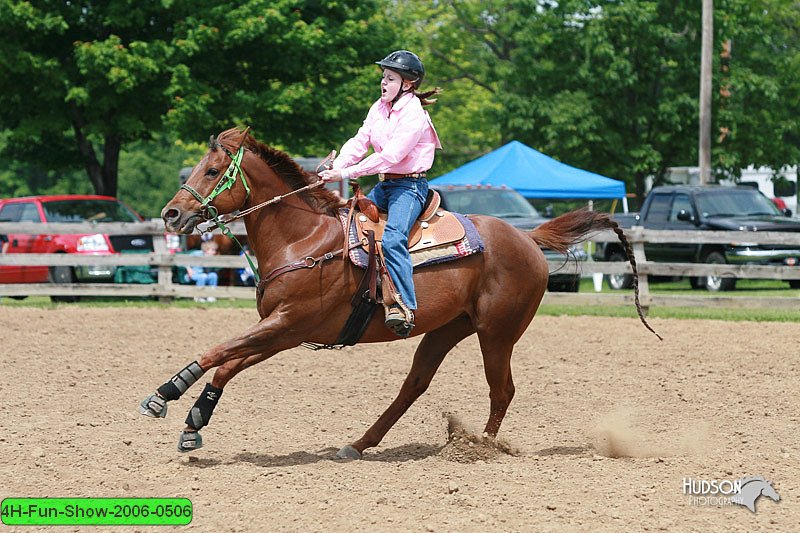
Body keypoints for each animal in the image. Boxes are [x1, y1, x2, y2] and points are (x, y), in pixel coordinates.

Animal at [141, 127, 660, 456]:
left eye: (212, 171)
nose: (170, 214)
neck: (305, 239)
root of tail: (527, 238)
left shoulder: (288, 323)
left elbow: (219, 352)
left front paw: (165, 395)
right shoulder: (282, 330)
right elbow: (229, 362)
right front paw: (193, 422)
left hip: (498, 332)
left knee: (502, 389)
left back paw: (482, 447)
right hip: (447, 330)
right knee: (414, 385)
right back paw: (359, 444)